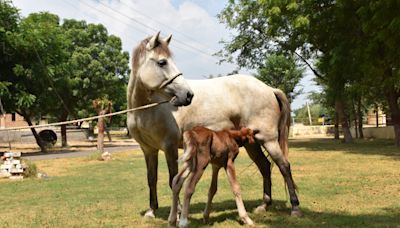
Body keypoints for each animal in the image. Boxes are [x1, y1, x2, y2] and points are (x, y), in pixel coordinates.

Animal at [126, 32, 302, 221]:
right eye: (162, 62)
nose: (188, 95)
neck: (148, 109)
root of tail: (269, 88)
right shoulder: (148, 150)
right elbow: (151, 178)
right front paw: (151, 210)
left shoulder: (170, 147)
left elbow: (173, 179)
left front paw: (178, 212)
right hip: (252, 142)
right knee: (265, 166)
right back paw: (264, 205)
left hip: (268, 139)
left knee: (284, 166)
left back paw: (295, 207)